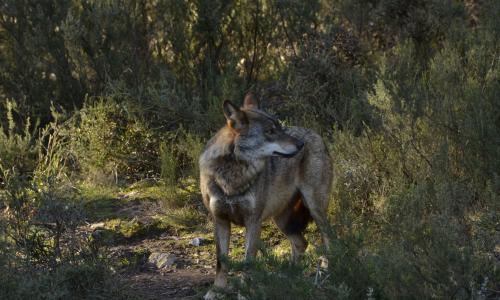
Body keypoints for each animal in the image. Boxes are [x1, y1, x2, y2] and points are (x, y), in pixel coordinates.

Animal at [199, 92, 332, 298]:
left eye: (280, 127)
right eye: (269, 131)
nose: (301, 145)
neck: (233, 173)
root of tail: (317, 135)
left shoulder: (253, 221)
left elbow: (248, 262)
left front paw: (244, 293)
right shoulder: (220, 220)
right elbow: (221, 262)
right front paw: (216, 292)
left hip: (315, 208)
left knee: (328, 239)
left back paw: (328, 272)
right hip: (282, 219)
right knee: (302, 243)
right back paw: (288, 277)